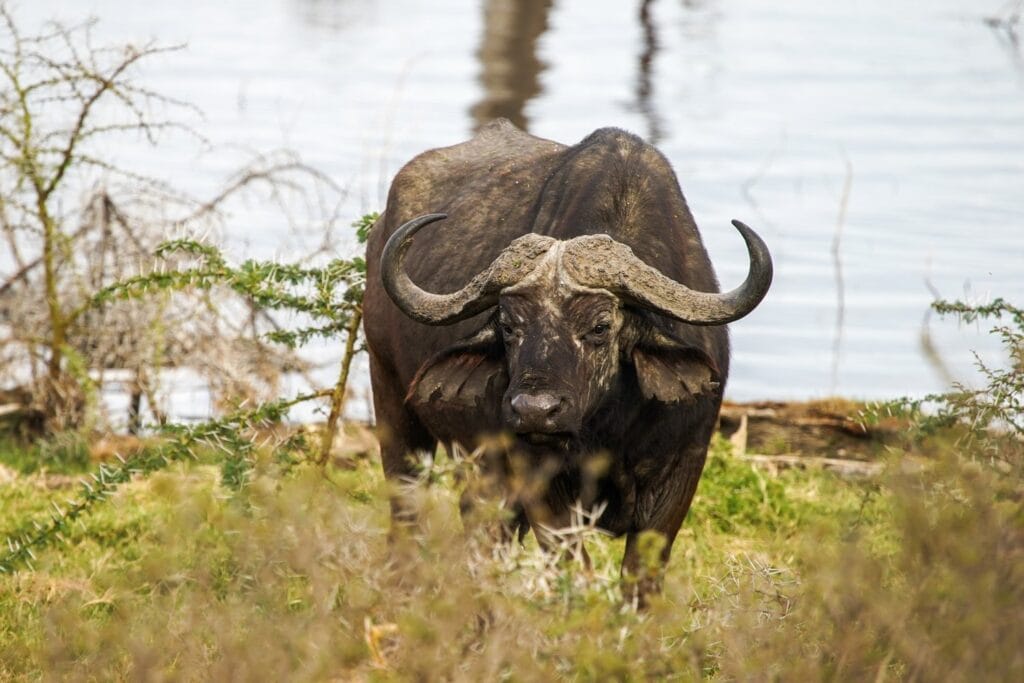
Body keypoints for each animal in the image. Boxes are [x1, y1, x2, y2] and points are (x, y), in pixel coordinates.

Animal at [363, 119, 772, 598]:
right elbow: (576, 571)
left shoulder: (683, 467)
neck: (611, 427)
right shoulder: (539, 485)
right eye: (508, 326)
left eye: (600, 326)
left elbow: (641, 578)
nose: (534, 411)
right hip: (392, 400)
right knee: (412, 511)